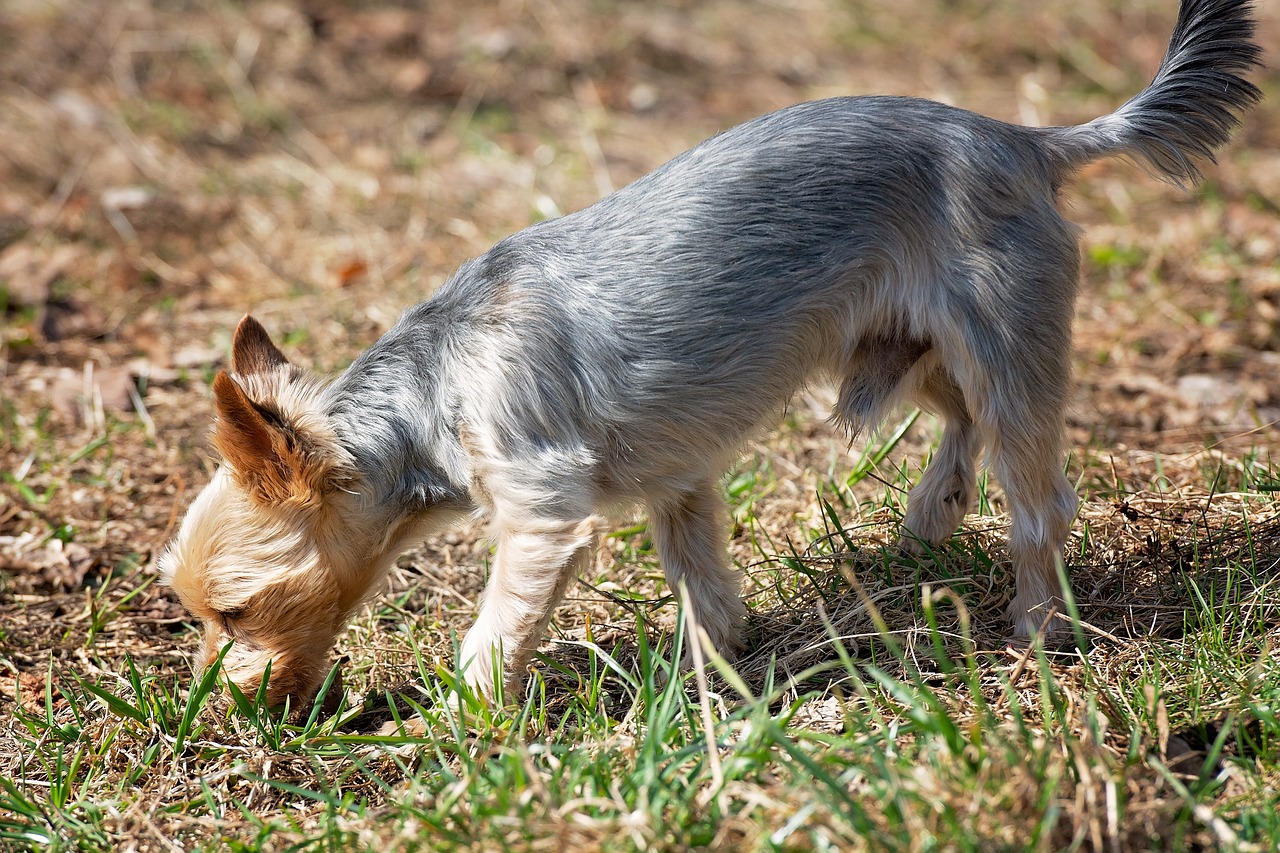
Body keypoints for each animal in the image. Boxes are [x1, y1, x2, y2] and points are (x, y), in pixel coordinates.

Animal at [157, 0, 1259, 701]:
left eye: (237, 613)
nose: (221, 704)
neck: (435, 389)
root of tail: (1029, 140)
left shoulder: (541, 510)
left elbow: (493, 631)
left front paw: (465, 721)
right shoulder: (677, 480)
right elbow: (702, 579)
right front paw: (712, 672)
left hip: (1001, 337)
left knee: (1036, 496)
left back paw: (1036, 629)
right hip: (901, 349)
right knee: (958, 422)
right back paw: (929, 511)